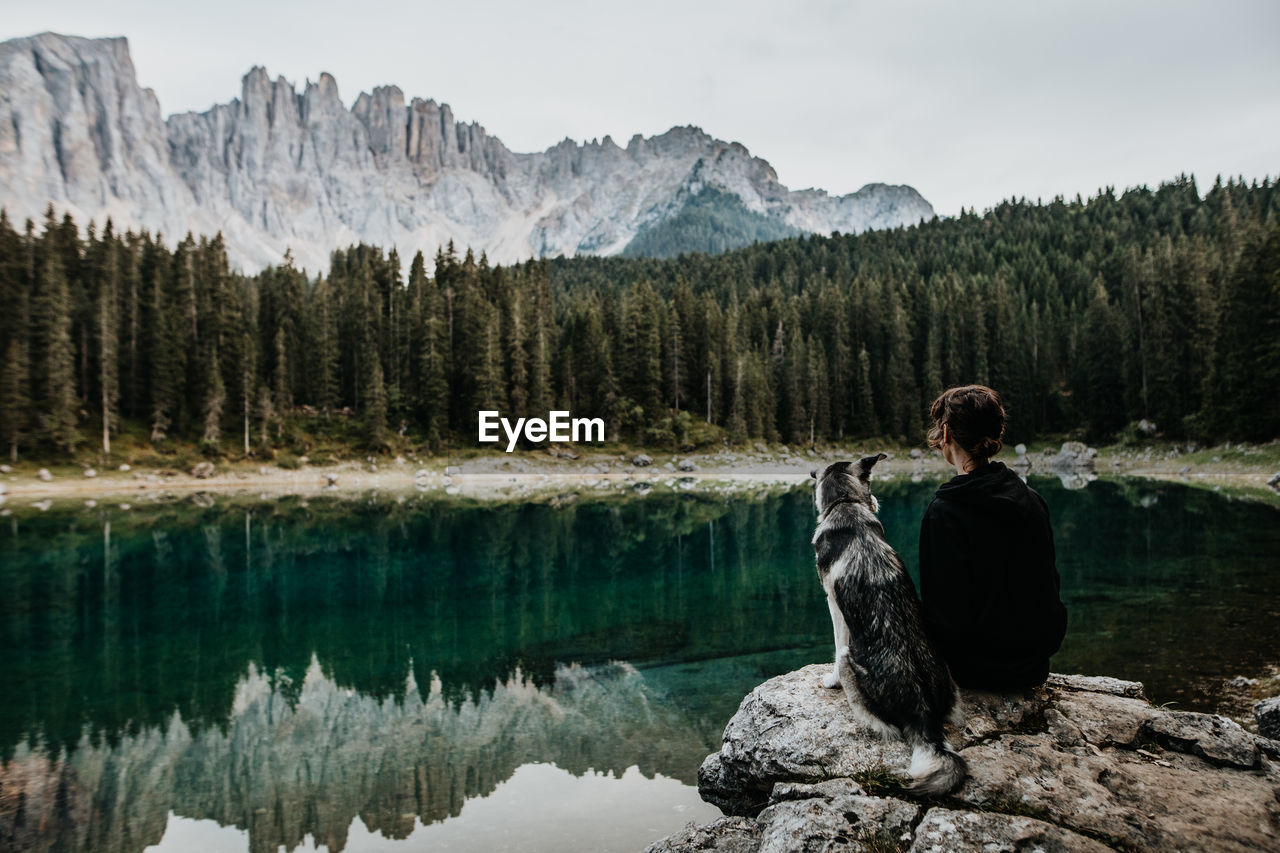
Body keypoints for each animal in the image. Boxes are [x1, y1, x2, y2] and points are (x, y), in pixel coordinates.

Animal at [814, 455, 962, 794]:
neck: (846, 503)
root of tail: (924, 716)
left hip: (851, 663)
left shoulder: (833, 603)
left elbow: (836, 644)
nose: (878, 502)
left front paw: (830, 681)